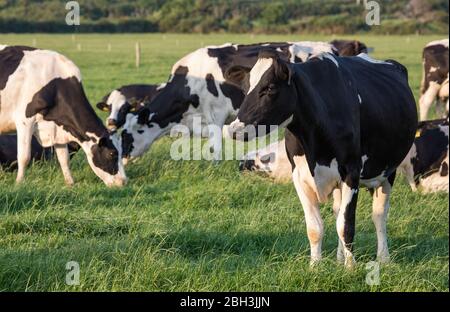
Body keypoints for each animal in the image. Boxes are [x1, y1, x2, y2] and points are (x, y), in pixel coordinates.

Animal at [0, 45, 126, 186]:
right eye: (112, 153)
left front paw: (70, 183)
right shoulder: (25, 120)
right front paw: (19, 183)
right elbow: (24, 156)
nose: (123, 181)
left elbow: (63, 158)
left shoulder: (57, 127)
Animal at [227, 50, 416, 266]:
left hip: (388, 171)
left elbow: (346, 226)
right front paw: (315, 266)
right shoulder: (299, 176)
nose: (234, 129)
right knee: (338, 211)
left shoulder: (351, 172)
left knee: (379, 215)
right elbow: (315, 228)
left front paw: (351, 267)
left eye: (270, 88)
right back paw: (339, 258)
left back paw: (383, 258)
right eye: (245, 88)